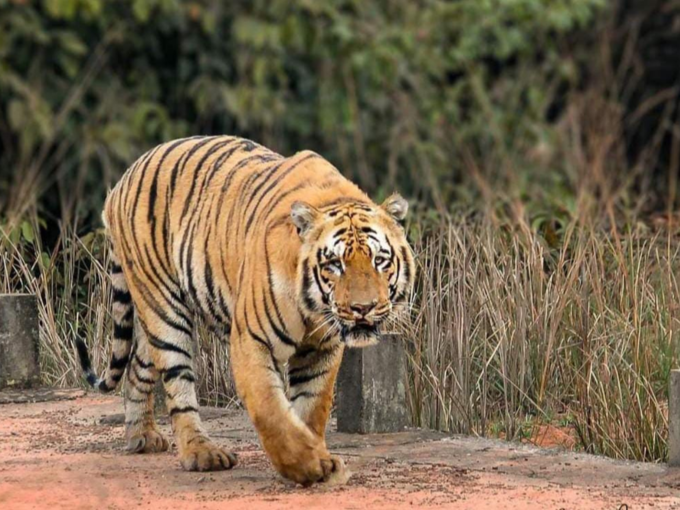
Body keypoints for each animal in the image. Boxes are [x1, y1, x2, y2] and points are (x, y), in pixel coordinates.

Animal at [74, 135, 414, 486]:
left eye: (379, 260)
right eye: (334, 264)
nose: (363, 308)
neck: (314, 308)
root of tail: (121, 182)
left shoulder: (322, 347)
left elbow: (312, 406)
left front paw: (317, 458)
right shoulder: (252, 338)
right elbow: (270, 408)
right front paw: (306, 464)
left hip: (150, 316)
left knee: (137, 366)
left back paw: (141, 436)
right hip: (163, 307)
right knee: (177, 383)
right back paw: (202, 453)